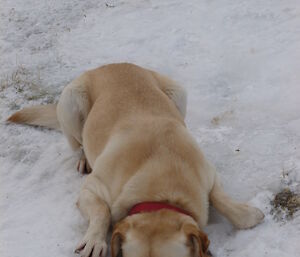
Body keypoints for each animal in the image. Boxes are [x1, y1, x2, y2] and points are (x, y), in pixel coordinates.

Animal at [7, 63, 264, 256]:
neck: (163, 187)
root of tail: (112, 64)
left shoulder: (209, 172)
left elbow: (222, 200)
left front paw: (249, 214)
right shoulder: (92, 189)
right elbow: (102, 211)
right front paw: (95, 240)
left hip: (178, 93)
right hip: (70, 105)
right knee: (79, 143)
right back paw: (85, 159)